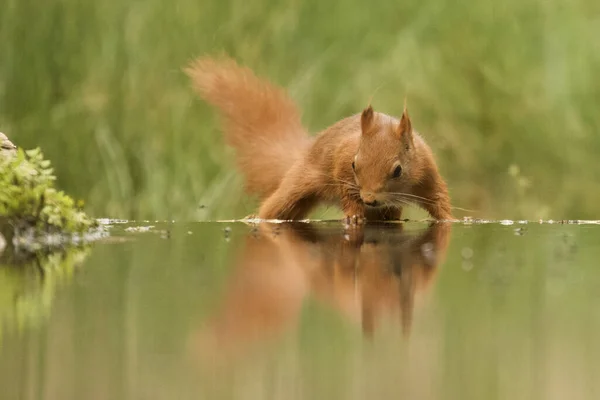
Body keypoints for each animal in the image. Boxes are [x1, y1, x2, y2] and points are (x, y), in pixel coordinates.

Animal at [185, 55, 452, 222]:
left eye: (398, 171)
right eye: (354, 164)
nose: (368, 199)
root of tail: (306, 150)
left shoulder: (427, 172)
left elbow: (439, 198)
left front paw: (450, 218)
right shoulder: (341, 167)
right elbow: (347, 193)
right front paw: (354, 216)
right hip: (297, 185)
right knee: (277, 206)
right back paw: (253, 219)